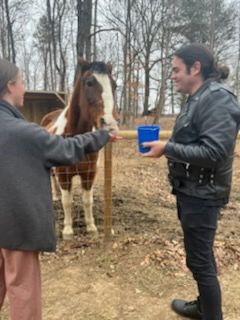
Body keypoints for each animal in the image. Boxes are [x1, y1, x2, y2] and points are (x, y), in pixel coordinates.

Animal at [42, 60, 120, 240]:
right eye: (89, 83)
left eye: (114, 85)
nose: (110, 124)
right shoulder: (64, 174)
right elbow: (67, 201)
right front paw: (68, 230)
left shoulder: (89, 173)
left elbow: (87, 200)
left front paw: (91, 227)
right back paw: (55, 196)